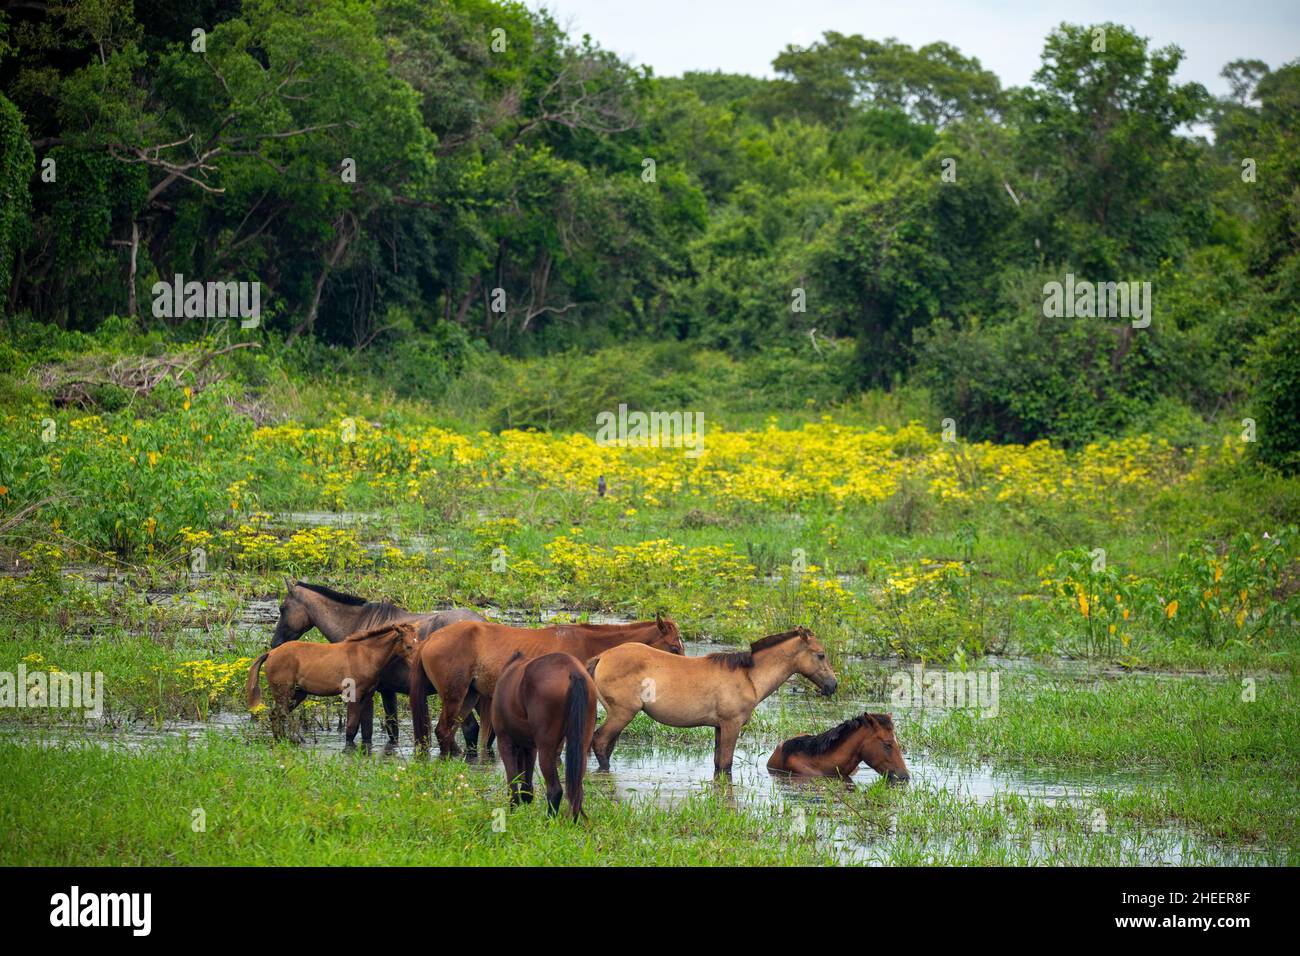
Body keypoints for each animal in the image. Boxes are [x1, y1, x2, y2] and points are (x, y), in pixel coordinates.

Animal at [246, 622, 421, 749]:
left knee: (276, 715)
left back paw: (281, 740)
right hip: (284, 691)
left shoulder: (367, 694)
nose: (419, 663)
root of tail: (270, 653)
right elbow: (351, 727)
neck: (366, 655)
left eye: (418, 642)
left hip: (298, 693)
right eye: (408, 646)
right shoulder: (353, 693)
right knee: (278, 714)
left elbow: (362, 728)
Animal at [270, 580, 485, 749]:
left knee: (468, 729)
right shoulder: (386, 690)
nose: (274, 644)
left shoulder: (368, 694)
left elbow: (364, 732)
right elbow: (391, 730)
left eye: (282, 608)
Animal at [409, 614, 685, 756]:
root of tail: (431, 638)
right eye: (674, 647)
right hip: (455, 695)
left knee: (447, 732)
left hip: (469, 696)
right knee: (443, 730)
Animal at [491, 651, 598, 820]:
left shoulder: (505, 741)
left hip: (545, 748)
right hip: (581, 746)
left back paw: (549, 823)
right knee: (577, 791)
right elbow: (526, 788)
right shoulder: (530, 748)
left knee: (555, 790)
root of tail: (573, 670)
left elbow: (513, 787)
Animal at [587, 626, 837, 778]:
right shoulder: (731, 725)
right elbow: (726, 765)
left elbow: (718, 765)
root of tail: (602, 657)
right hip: (622, 713)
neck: (748, 677)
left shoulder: (719, 727)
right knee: (599, 742)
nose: (832, 685)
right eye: (821, 654)